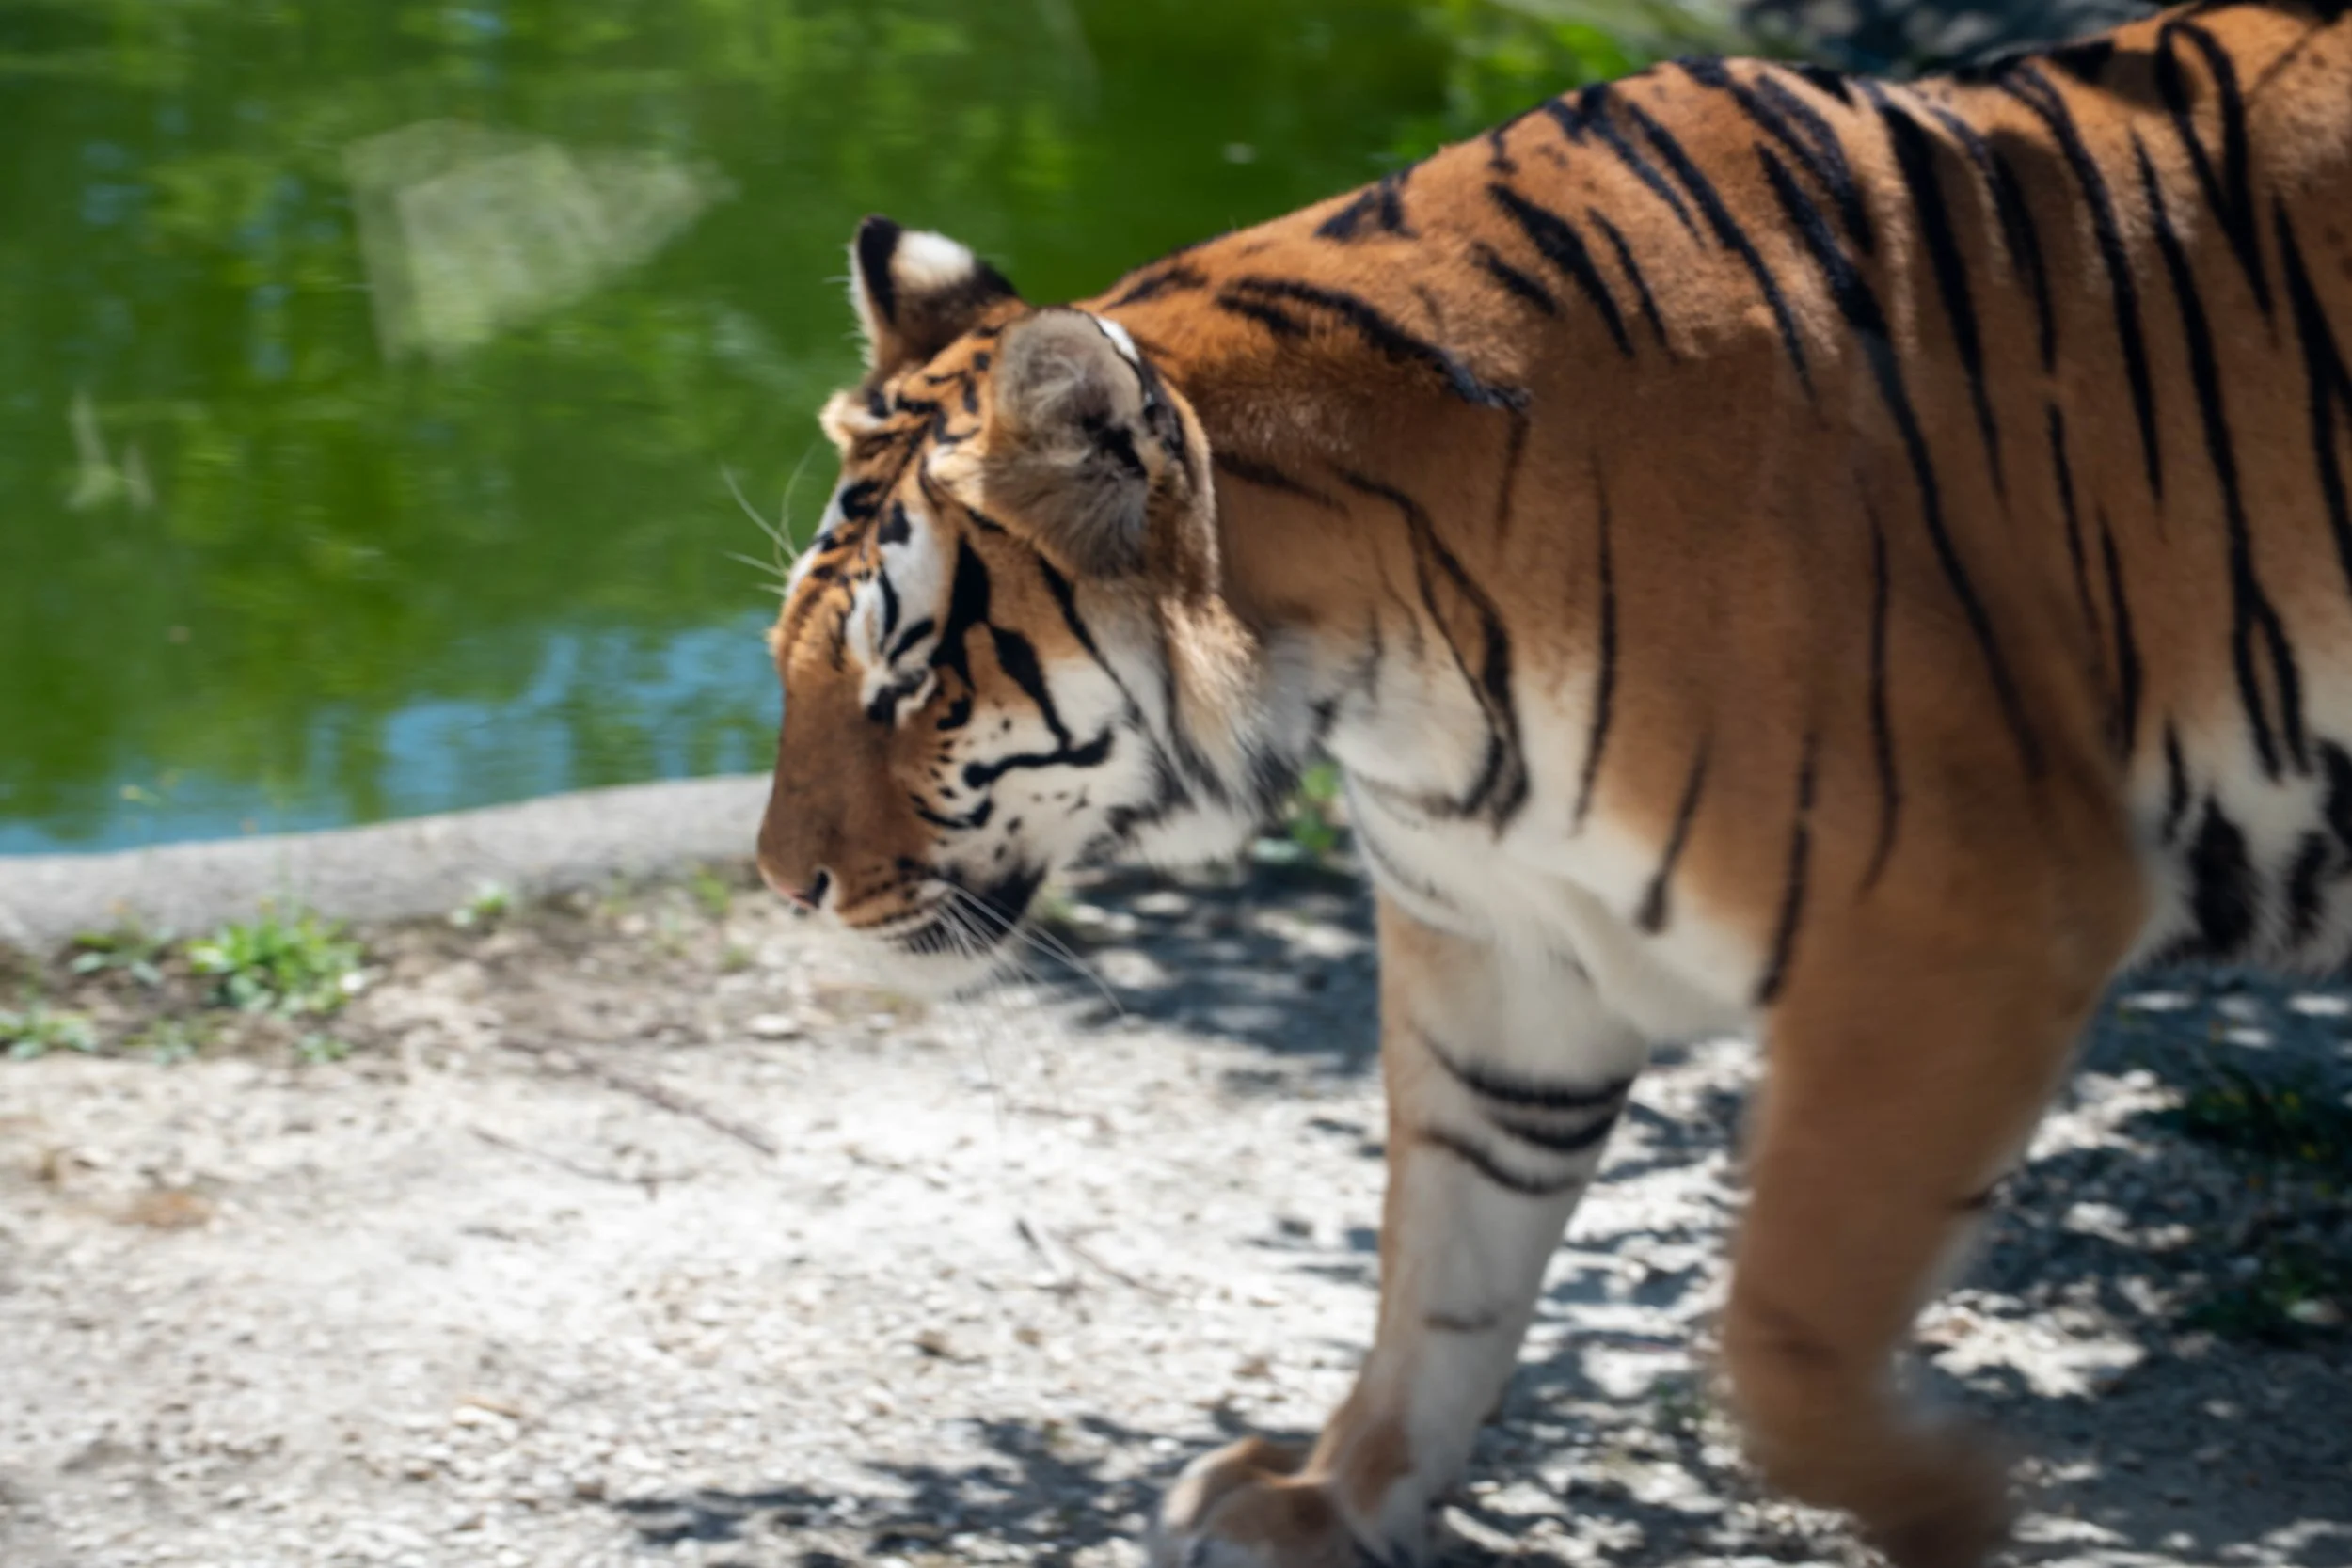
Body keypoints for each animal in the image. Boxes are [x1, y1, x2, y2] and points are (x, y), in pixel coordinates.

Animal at [754, 2, 2352, 1563]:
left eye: (909, 683)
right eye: (790, 657)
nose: (782, 884)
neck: (1387, 666)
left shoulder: (1960, 918)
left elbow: (1782, 1329)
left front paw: (1957, 1501)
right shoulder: (1501, 940)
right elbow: (1443, 1259)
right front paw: (1332, 1498)